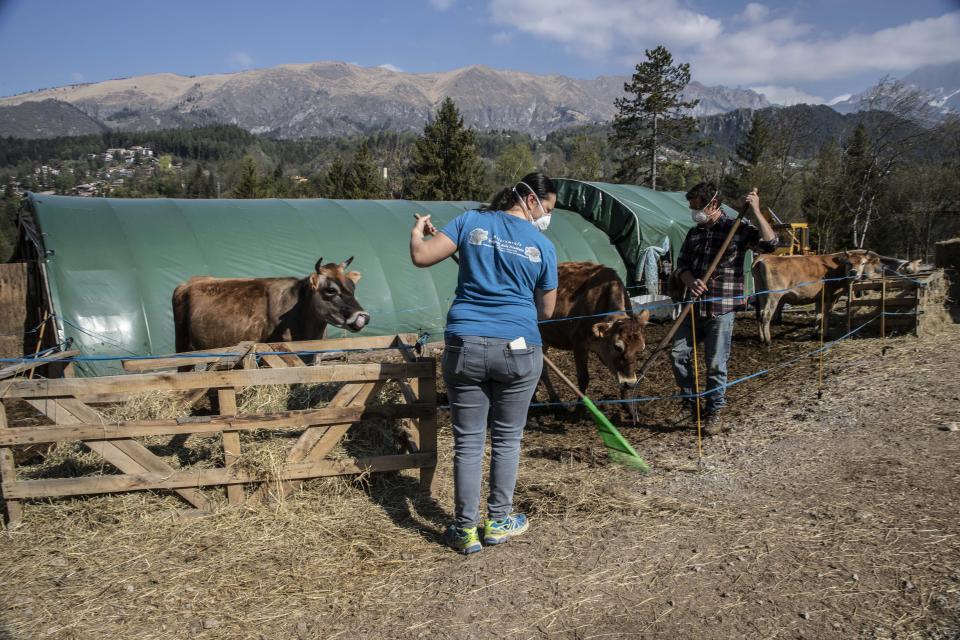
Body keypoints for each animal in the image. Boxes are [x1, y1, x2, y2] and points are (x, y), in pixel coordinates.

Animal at [752, 249, 880, 344]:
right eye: (849, 263)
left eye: (863, 263)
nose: (854, 272)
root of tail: (764, 257)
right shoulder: (831, 297)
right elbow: (826, 314)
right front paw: (825, 335)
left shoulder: (819, 297)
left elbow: (818, 315)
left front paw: (815, 334)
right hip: (774, 295)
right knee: (766, 314)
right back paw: (768, 340)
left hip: (761, 294)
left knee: (760, 313)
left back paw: (761, 338)